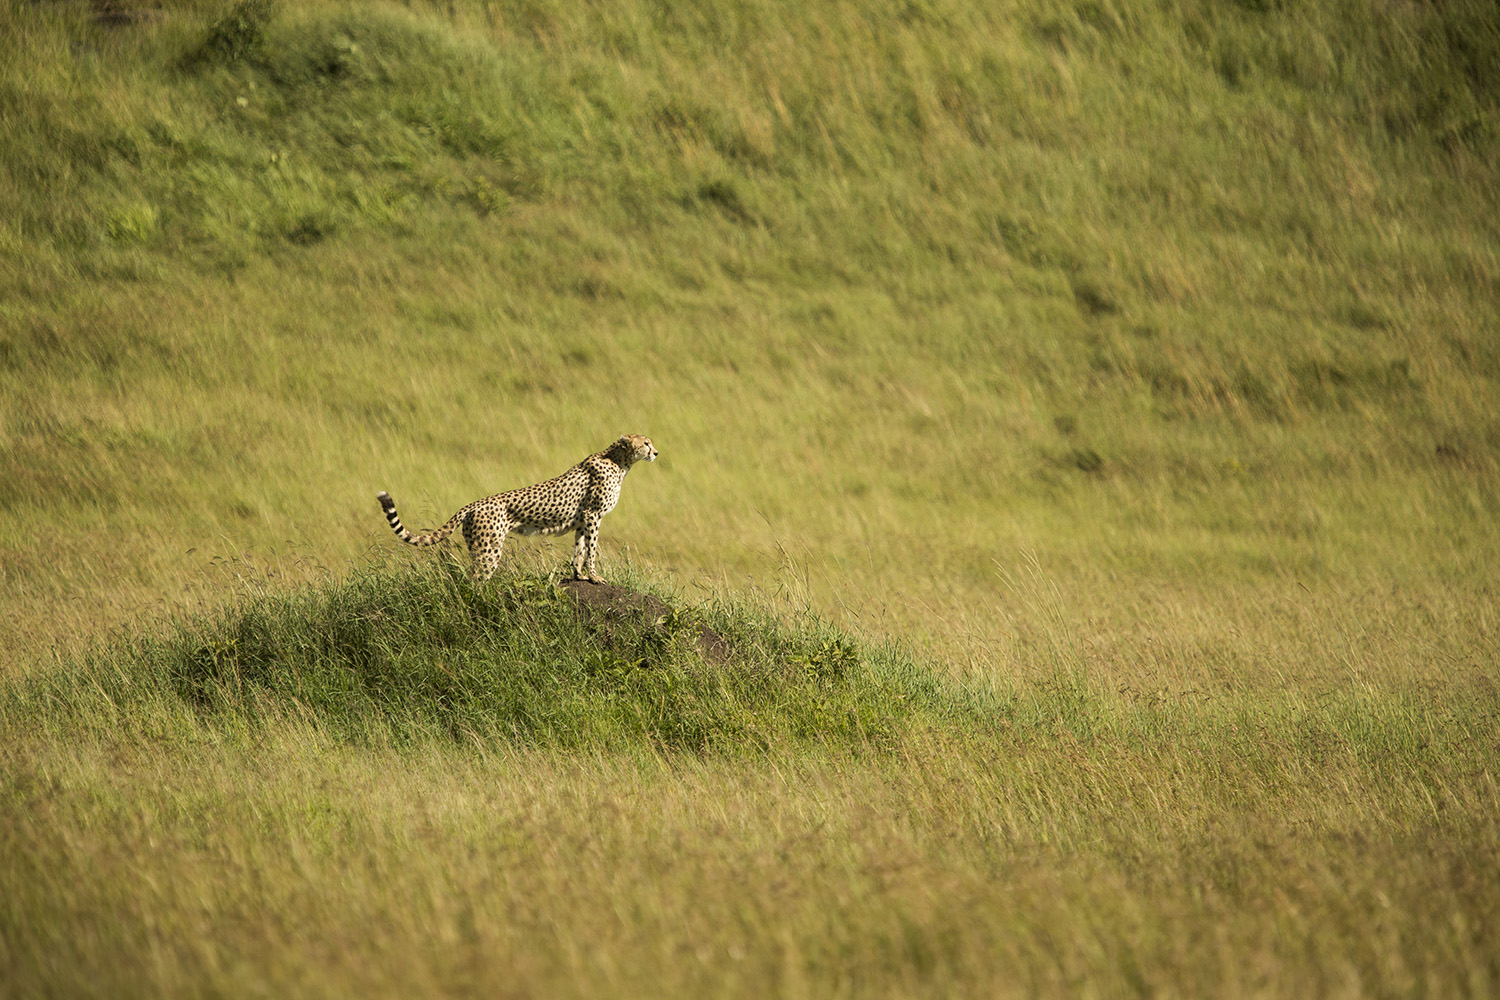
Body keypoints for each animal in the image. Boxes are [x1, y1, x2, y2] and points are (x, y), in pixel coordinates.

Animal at [375, 431, 657, 587]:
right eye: (645, 443)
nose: (655, 452)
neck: (619, 461)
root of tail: (474, 504)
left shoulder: (583, 519)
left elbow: (579, 550)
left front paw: (579, 576)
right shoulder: (593, 515)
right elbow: (592, 550)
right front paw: (595, 577)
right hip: (489, 549)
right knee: (474, 580)